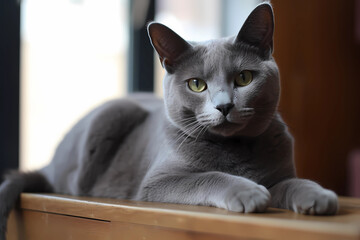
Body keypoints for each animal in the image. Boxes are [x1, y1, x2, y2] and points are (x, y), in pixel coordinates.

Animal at [0, 2, 338, 239]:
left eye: (244, 78)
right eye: (197, 84)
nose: (224, 106)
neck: (234, 149)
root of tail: (48, 164)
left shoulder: (279, 175)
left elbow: (294, 182)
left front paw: (320, 196)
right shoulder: (157, 183)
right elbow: (209, 177)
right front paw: (249, 192)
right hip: (110, 120)